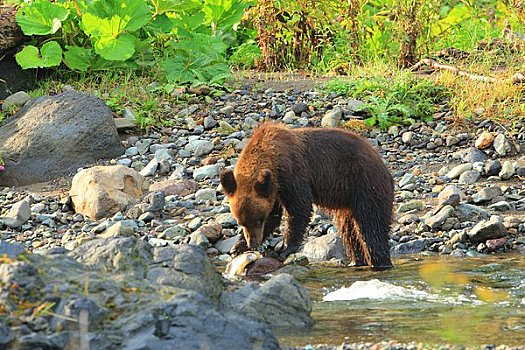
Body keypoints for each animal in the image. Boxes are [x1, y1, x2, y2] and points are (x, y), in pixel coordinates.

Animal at [218, 121, 392, 270]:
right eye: (240, 221)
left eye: (258, 219)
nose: (253, 244)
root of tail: (382, 164)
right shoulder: (273, 190)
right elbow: (274, 215)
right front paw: (237, 246)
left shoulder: (292, 173)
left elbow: (299, 208)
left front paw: (284, 249)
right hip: (346, 201)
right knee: (349, 231)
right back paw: (356, 261)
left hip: (364, 185)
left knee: (371, 226)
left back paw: (380, 262)